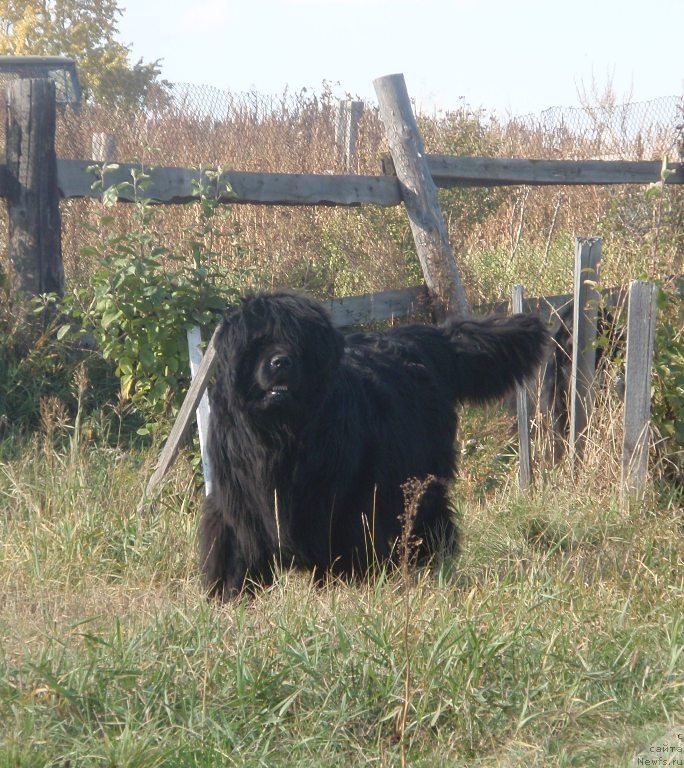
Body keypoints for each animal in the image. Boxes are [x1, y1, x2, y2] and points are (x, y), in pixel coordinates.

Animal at [196, 292, 544, 596]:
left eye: (299, 344)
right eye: (259, 343)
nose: (280, 362)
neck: (281, 436)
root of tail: (430, 337)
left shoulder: (345, 499)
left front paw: (346, 584)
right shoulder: (240, 500)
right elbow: (235, 545)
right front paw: (231, 593)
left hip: (420, 471)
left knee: (429, 512)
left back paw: (431, 560)